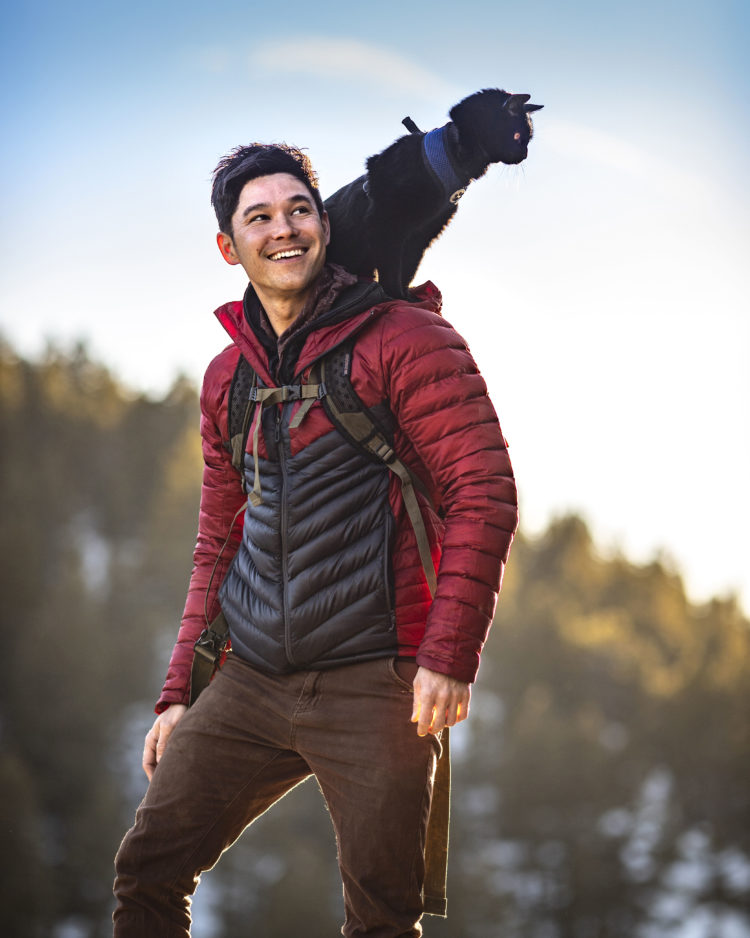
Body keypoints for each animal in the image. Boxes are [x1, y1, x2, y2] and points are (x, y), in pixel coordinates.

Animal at [326, 89, 544, 298]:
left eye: (529, 140)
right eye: (518, 137)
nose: (525, 154)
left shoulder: (423, 234)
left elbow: (408, 270)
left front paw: (408, 297)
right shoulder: (387, 225)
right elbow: (392, 270)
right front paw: (394, 296)